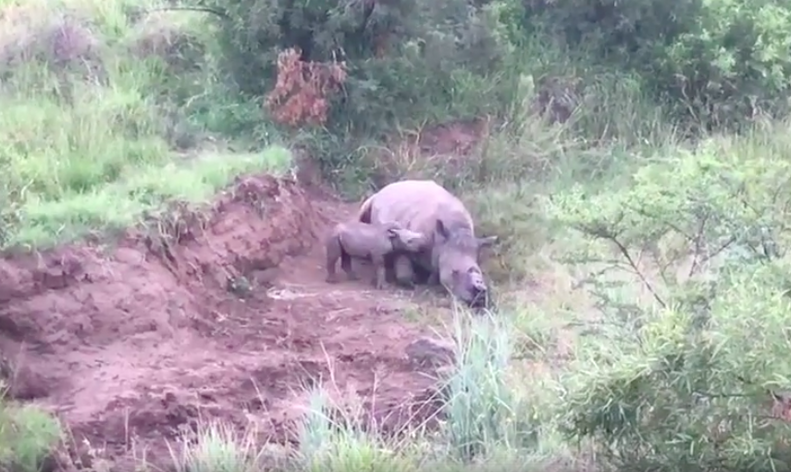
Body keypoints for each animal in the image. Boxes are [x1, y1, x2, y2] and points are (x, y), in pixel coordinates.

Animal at [356, 180, 497, 307]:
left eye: (480, 272)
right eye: (454, 272)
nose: (479, 297)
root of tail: (382, 190)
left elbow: (435, 269)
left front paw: (430, 282)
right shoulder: (405, 241)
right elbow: (404, 272)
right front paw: (415, 281)